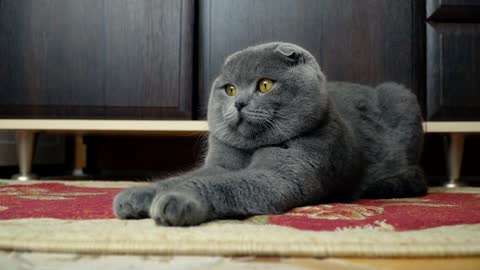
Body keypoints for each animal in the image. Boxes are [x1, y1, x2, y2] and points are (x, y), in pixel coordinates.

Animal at [113, 42, 428, 227]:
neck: (251, 150)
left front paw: (176, 200)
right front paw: (136, 195)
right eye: (229, 89)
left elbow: (223, 184)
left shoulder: (282, 175)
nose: (239, 103)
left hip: (402, 97)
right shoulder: (219, 163)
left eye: (265, 85)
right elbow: (183, 177)